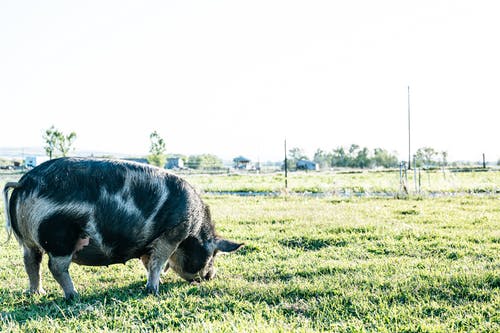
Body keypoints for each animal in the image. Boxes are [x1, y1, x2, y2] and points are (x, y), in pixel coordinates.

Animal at [2, 156, 243, 298]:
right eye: (213, 254)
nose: (211, 276)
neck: (193, 232)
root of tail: (24, 182)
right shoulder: (173, 232)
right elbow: (158, 262)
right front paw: (153, 290)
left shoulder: (150, 243)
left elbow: (149, 262)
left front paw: (157, 281)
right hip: (60, 236)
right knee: (56, 267)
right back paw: (74, 295)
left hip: (28, 241)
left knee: (31, 262)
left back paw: (38, 293)